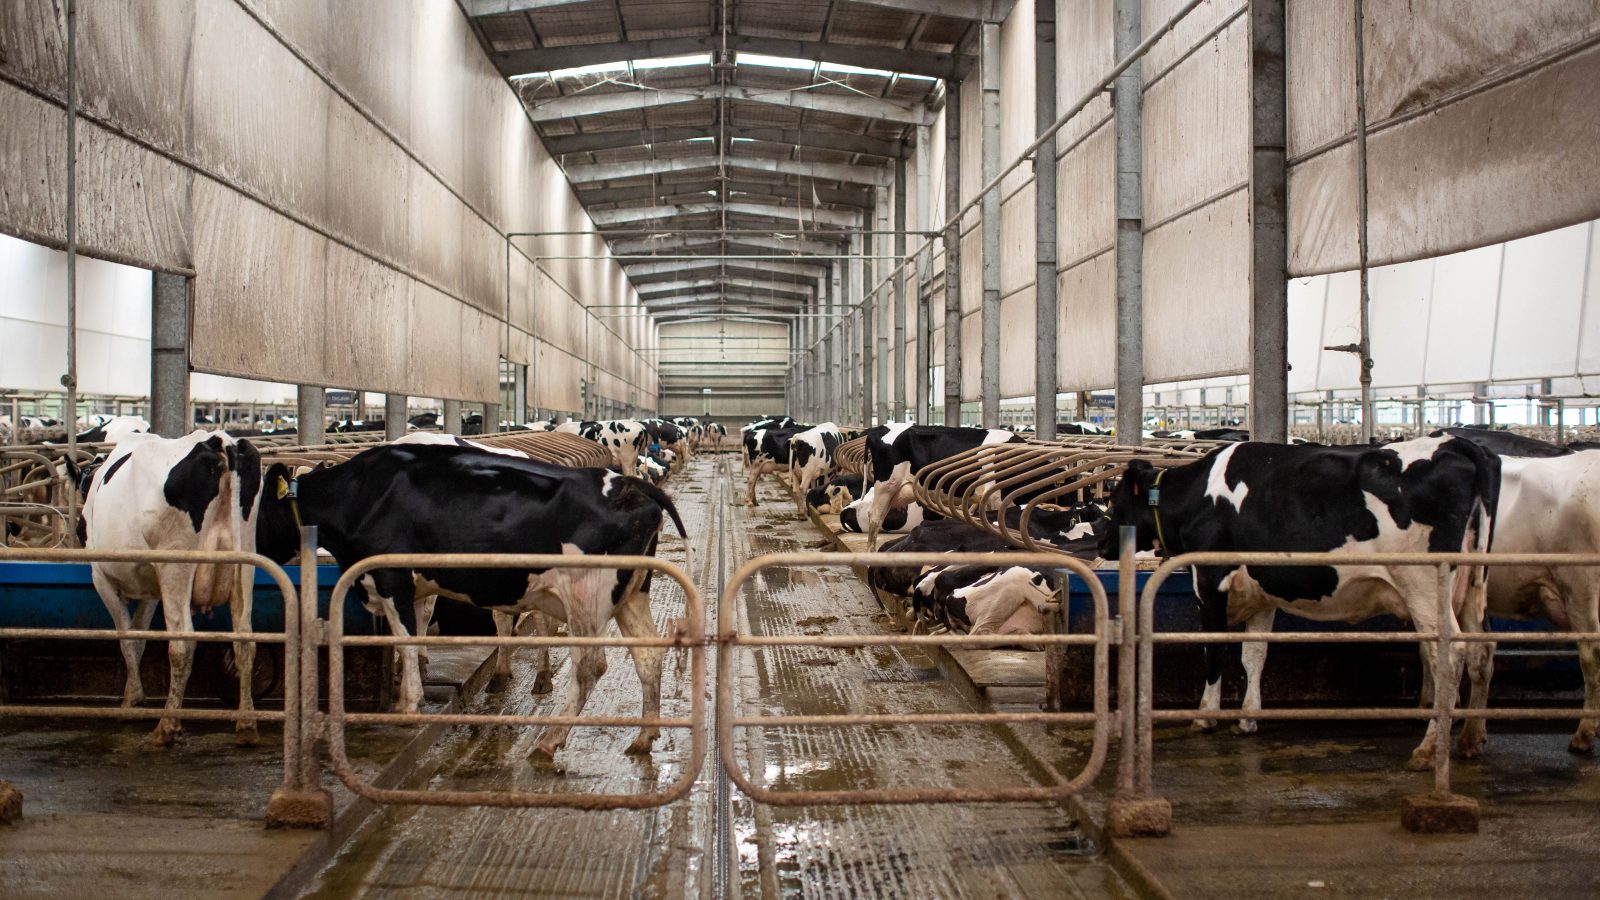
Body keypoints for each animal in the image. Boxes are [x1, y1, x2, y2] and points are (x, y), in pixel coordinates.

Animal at [75, 425, 260, 743]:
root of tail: (219, 440)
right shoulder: (151, 590)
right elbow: (139, 637)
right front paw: (132, 696)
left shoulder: (101, 577)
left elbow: (127, 638)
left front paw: (133, 702)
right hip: (245, 559)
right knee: (245, 641)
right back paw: (246, 725)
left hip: (175, 563)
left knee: (182, 643)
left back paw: (167, 726)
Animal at [256, 441, 688, 755]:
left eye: (255, 507)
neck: (358, 494)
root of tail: (631, 484)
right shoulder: (410, 586)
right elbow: (413, 634)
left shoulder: (390, 576)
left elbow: (404, 638)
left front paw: (407, 706)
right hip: (633, 593)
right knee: (648, 655)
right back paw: (644, 737)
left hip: (586, 596)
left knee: (590, 666)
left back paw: (548, 742)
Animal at [1094, 435, 1491, 762]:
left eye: (1115, 503)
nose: (1102, 544)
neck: (1196, 496)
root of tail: (1455, 445)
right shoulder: (1263, 592)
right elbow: (1254, 654)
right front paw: (1247, 718)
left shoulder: (1209, 581)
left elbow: (1214, 649)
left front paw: (1205, 715)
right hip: (1473, 587)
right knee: (1480, 650)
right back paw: (1471, 738)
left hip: (1423, 584)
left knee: (1450, 653)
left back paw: (1429, 748)